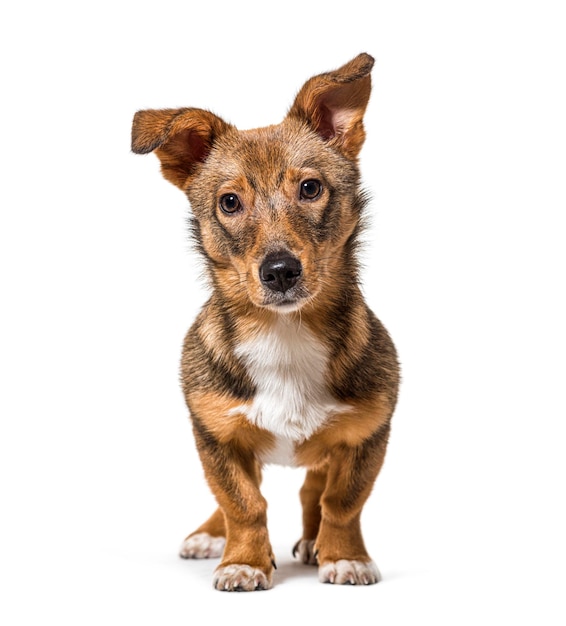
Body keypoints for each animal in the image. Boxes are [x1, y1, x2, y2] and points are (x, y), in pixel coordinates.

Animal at [131, 54, 402, 588]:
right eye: (229, 202)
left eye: (310, 188)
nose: (279, 271)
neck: (285, 333)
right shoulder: (215, 435)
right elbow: (243, 503)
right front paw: (243, 561)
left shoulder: (366, 434)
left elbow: (341, 501)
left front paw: (345, 556)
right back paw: (210, 535)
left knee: (312, 491)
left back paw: (315, 543)